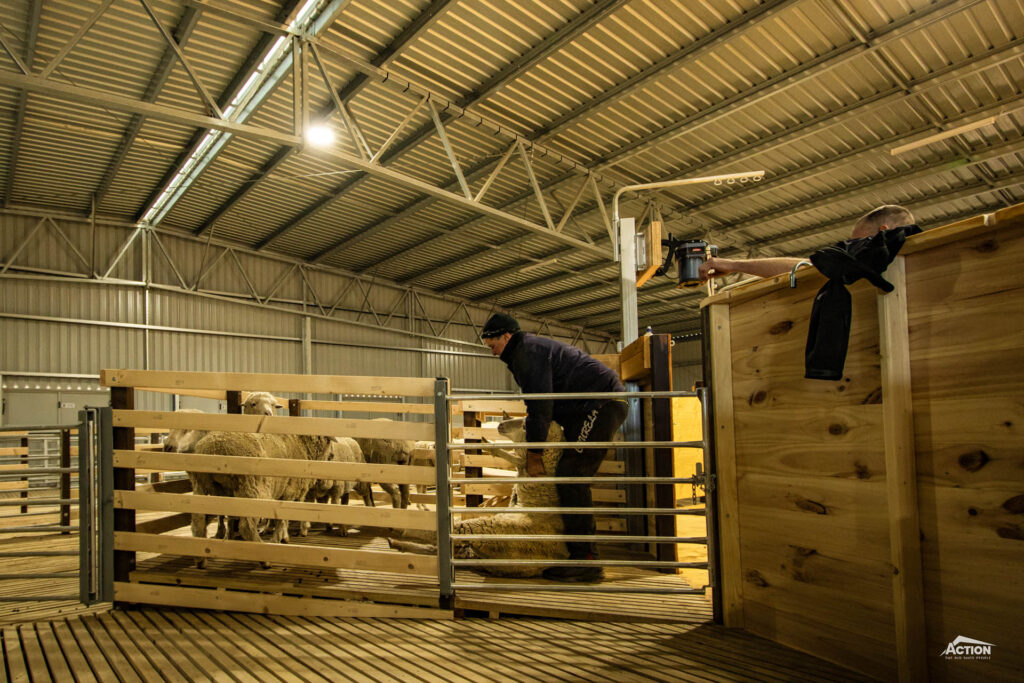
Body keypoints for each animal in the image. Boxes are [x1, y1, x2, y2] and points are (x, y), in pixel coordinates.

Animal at [389, 417, 573, 577]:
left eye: (526, 426)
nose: (501, 424)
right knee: (436, 548)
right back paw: (397, 543)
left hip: (481, 529)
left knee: (442, 535)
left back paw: (399, 531)